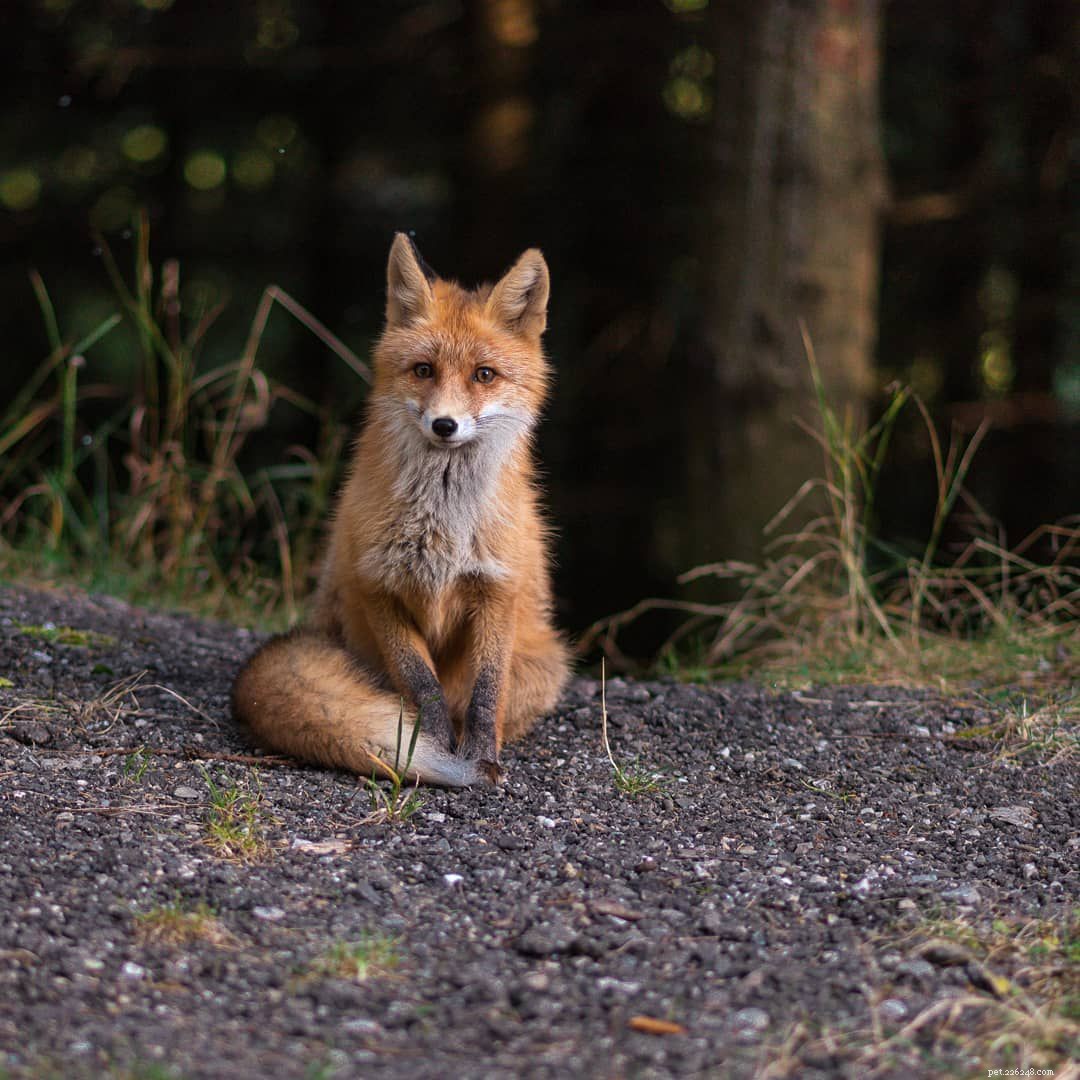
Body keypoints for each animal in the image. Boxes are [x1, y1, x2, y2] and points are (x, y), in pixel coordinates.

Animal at [231, 233, 570, 787]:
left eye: (484, 375)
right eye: (423, 370)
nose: (445, 425)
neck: (444, 526)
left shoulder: (497, 589)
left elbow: (485, 693)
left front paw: (481, 756)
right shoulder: (379, 588)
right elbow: (422, 687)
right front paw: (429, 749)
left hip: (544, 666)